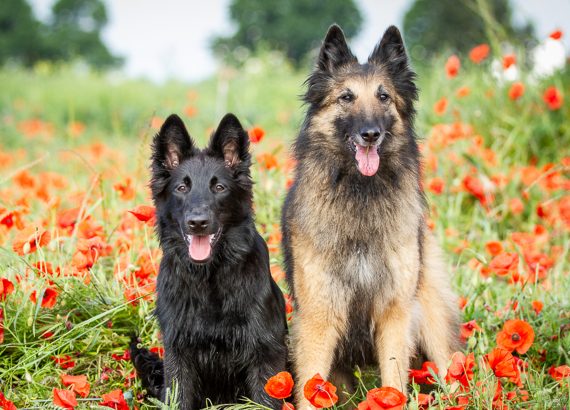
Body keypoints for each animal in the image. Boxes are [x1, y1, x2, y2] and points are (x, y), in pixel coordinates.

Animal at [130, 113, 286, 410]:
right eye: (182, 187)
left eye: (219, 187)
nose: (198, 222)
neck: (209, 277)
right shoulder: (178, 354)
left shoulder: (265, 353)